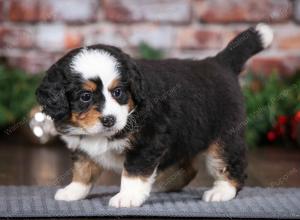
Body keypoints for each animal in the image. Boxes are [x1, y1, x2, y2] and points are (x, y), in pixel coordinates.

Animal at [36, 24, 274, 208]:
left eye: (118, 92)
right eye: (85, 96)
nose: (110, 120)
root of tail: (219, 62)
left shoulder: (148, 140)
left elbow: (133, 172)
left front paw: (128, 196)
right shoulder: (82, 147)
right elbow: (82, 170)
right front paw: (73, 191)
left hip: (224, 136)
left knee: (229, 164)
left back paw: (222, 191)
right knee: (188, 167)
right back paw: (162, 184)